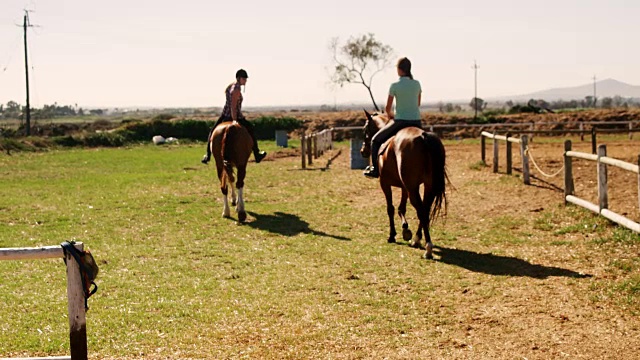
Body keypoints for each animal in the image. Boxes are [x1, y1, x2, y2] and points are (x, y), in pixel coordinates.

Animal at [362, 109, 448, 258]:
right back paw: (417, 239)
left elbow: (390, 208)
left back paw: (428, 248)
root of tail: (424, 136)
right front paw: (406, 230)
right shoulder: (404, 186)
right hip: (427, 186)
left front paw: (392, 235)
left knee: (421, 211)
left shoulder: (385, 183)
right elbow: (401, 208)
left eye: (365, 129)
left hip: (413, 187)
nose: (362, 151)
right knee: (425, 209)